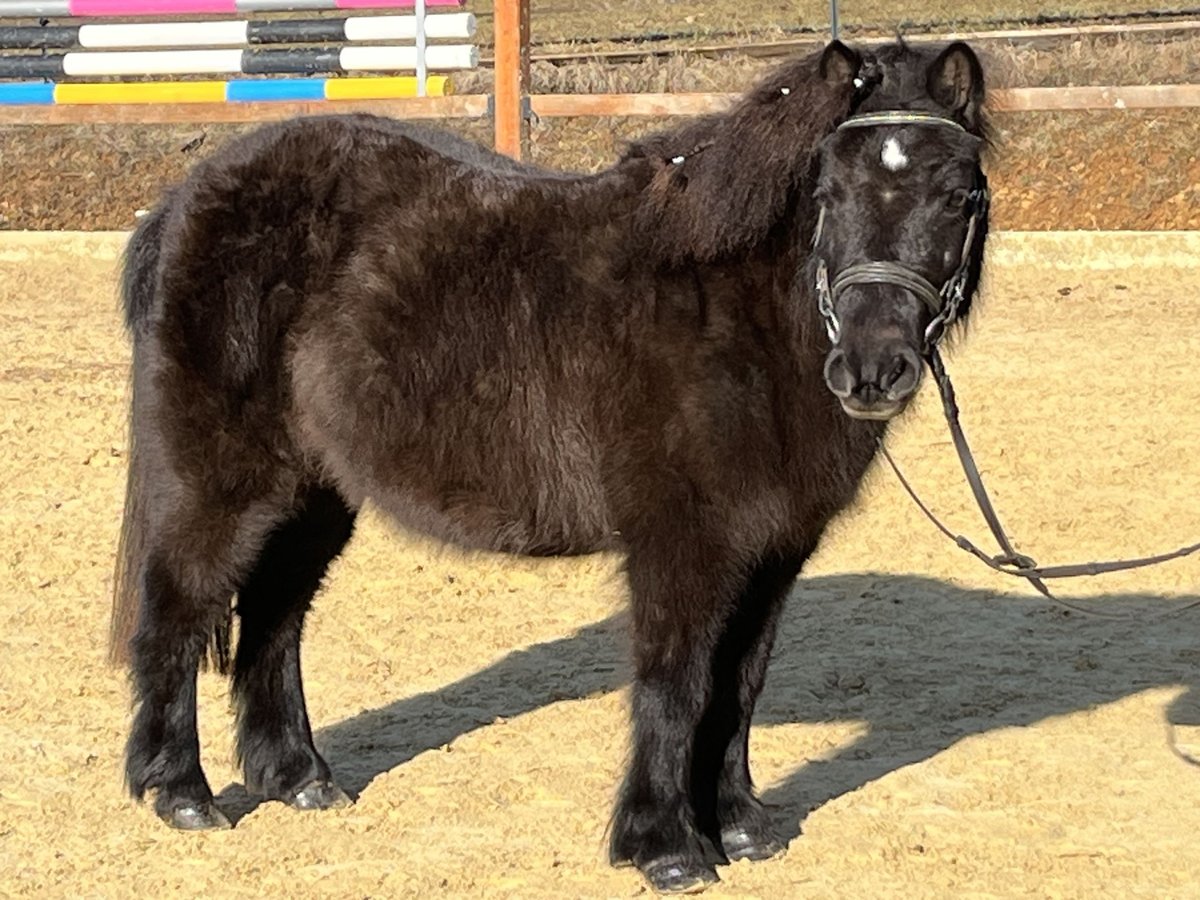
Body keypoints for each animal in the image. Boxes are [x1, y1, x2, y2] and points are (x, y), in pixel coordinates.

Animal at [112, 40, 988, 897]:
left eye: (957, 197)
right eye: (828, 192)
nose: (872, 370)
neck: (734, 312)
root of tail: (188, 197)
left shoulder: (772, 552)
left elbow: (739, 684)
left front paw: (741, 826)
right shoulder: (683, 543)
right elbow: (677, 682)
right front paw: (665, 848)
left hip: (314, 493)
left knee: (274, 616)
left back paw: (298, 777)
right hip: (220, 483)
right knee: (179, 609)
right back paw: (180, 793)